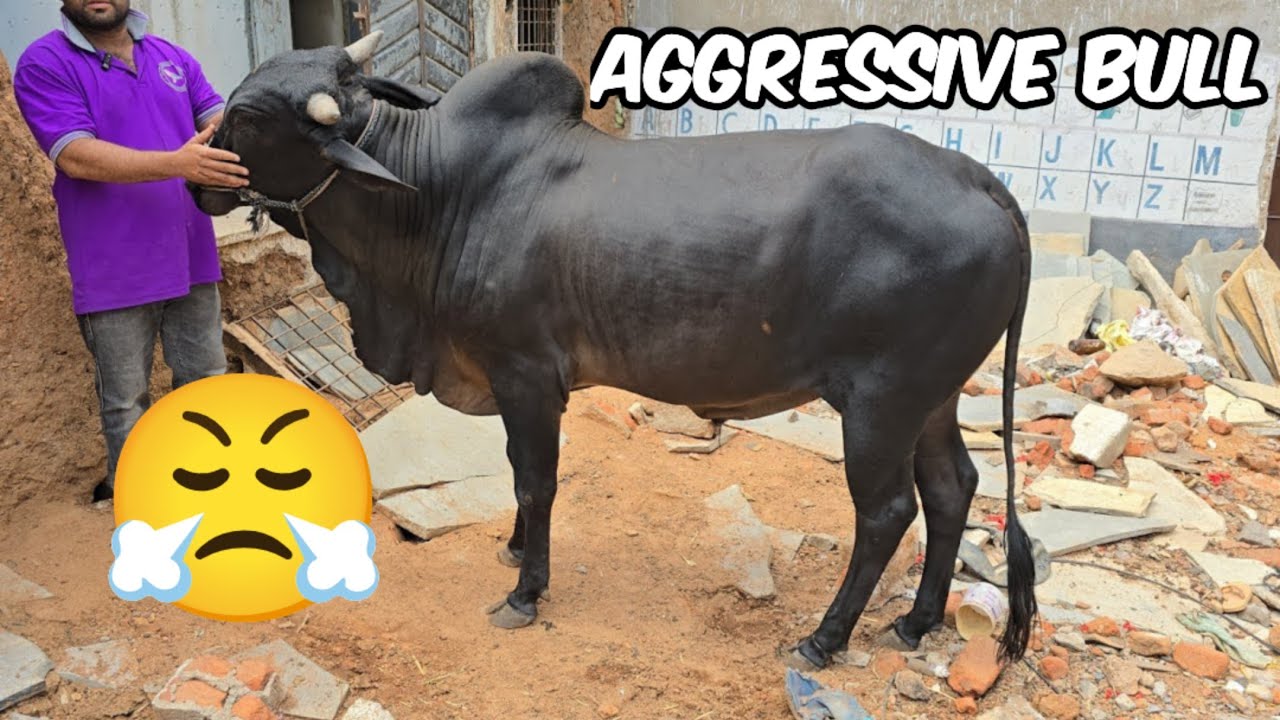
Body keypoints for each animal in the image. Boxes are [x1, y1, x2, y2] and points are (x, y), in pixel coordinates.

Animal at [191, 30, 1037, 669]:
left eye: (249, 120)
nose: (198, 175)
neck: (435, 192)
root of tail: (983, 181)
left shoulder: (527, 374)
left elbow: (535, 481)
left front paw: (526, 593)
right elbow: (517, 476)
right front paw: (513, 553)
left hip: (881, 404)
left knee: (888, 512)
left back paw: (824, 639)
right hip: (932, 398)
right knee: (954, 487)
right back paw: (915, 622)